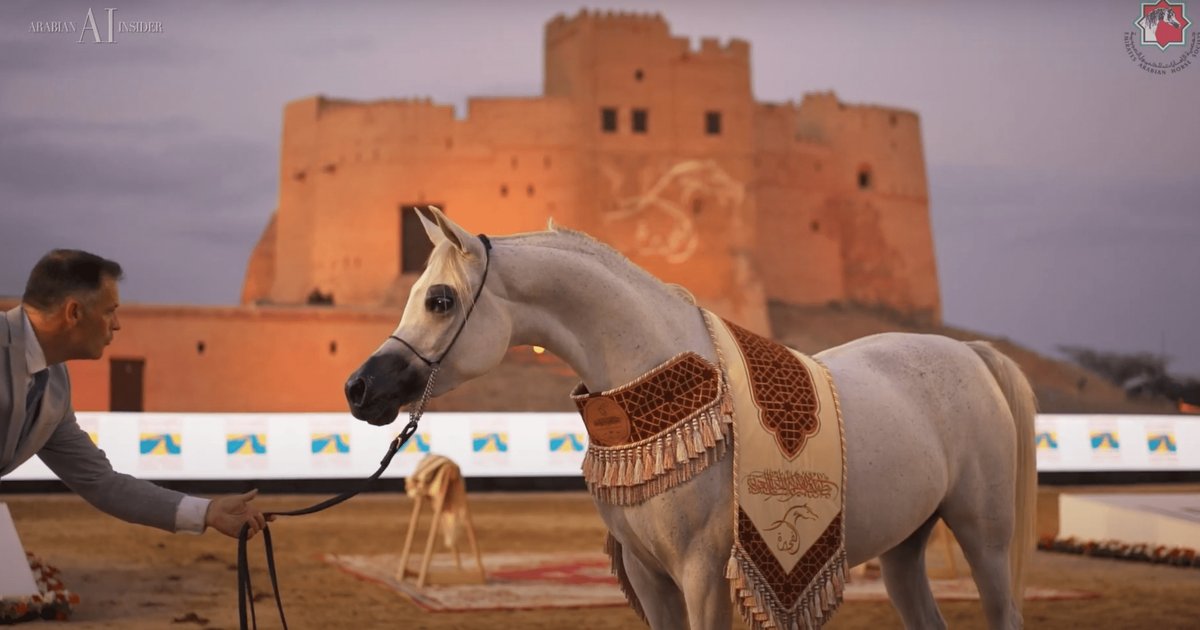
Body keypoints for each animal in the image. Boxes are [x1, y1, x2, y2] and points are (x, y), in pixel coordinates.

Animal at [344, 207, 1037, 630]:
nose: (359, 388)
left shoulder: (703, 574)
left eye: (440, 299)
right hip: (904, 547)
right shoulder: (650, 577)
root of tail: (971, 354)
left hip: (984, 537)